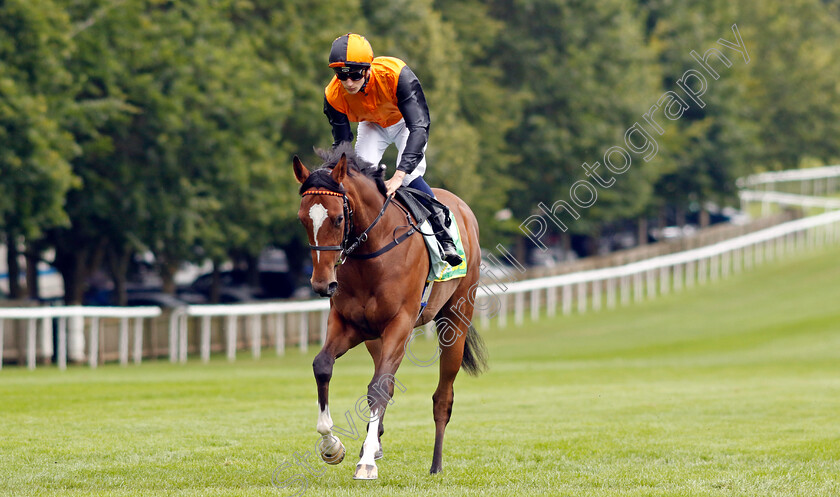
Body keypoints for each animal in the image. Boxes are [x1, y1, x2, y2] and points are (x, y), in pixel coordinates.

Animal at [294, 145, 488, 478]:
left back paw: (435, 464)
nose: (321, 284)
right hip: (376, 339)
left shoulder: (401, 322)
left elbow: (379, 387)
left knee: (443, 396)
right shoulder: (349, 324)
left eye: (337, 219)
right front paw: (332, 446)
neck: (373, 252)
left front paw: (366, 463)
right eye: (303, 219)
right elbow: (323, 366)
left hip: (456, 319)